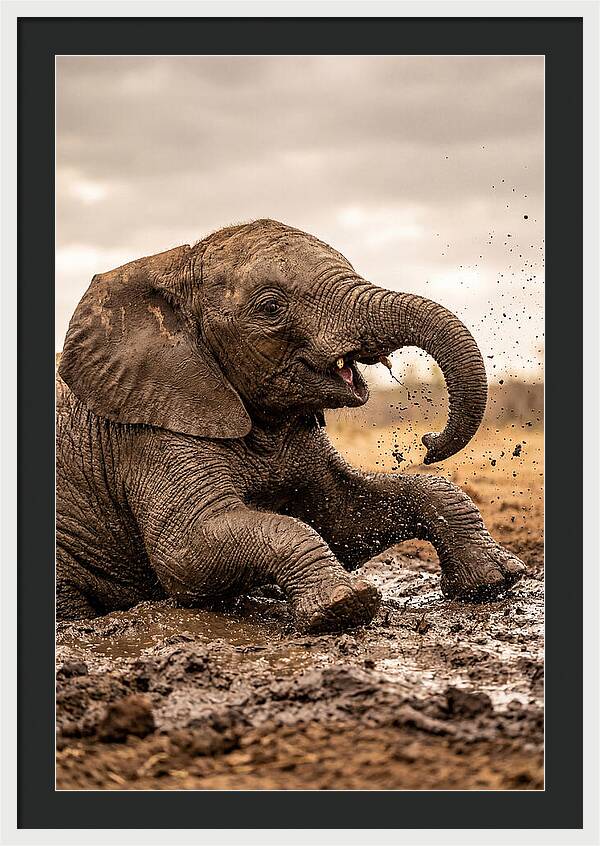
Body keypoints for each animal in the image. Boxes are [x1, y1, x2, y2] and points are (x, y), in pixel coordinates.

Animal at [56, 219, 525, 632]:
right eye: (271, 308)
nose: (428, 443)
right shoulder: (151, 432)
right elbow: (186, 553)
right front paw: (344, 605)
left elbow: (344, 518)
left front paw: (496, 580)